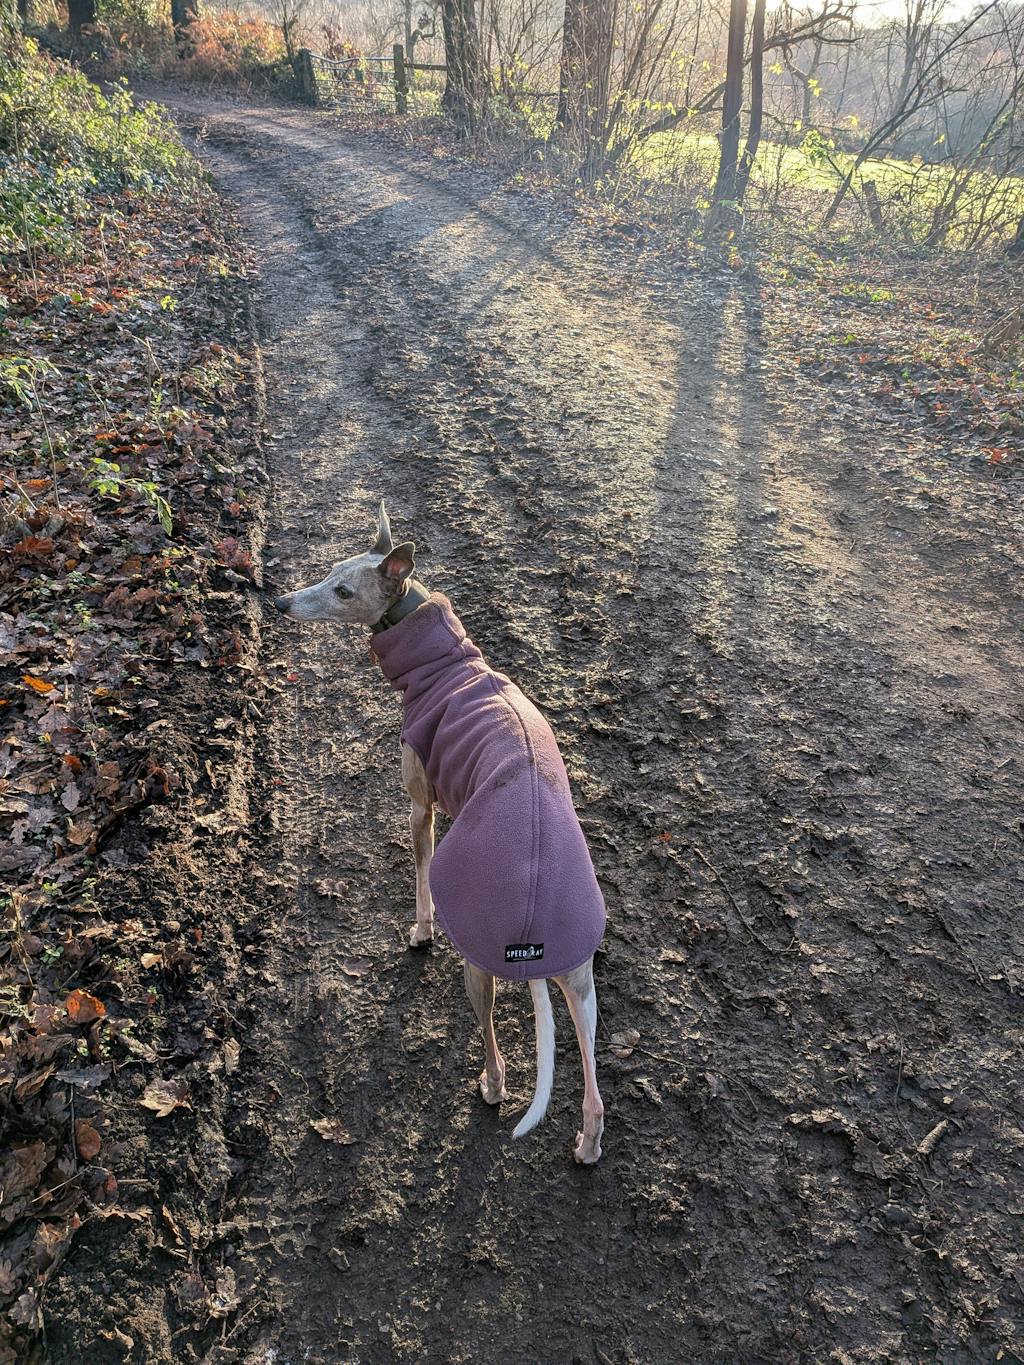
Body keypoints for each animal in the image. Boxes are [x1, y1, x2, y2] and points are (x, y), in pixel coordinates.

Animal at [274, 502, 605, 1163]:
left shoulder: (420, 806)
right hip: (582, 981)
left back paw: (491, 1085)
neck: (448, 663)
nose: (282, 602)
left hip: (479, 966)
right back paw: (587, 1142)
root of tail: (537, 937)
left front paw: (420, 931)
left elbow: (422, 873)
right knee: (591, 1074)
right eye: (329, 571)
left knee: (496, 1048)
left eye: (343, 591)